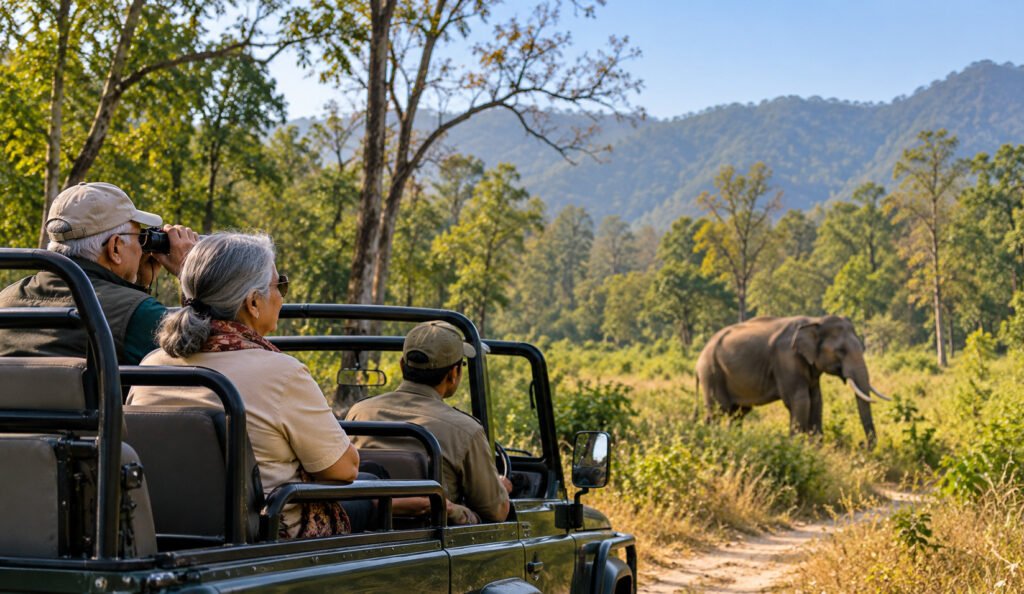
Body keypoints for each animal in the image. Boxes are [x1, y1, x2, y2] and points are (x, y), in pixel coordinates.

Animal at [695, 315, 890, 447]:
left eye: (863, 348)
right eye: (841, 351)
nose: (862, 445)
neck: (815, 321)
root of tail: (699, 360)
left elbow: (816, 400)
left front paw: (815, 447)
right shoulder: (787, 358)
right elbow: (800, 400)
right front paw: (797, 446)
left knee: (738, 413)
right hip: (711, 373)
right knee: (718, 411)